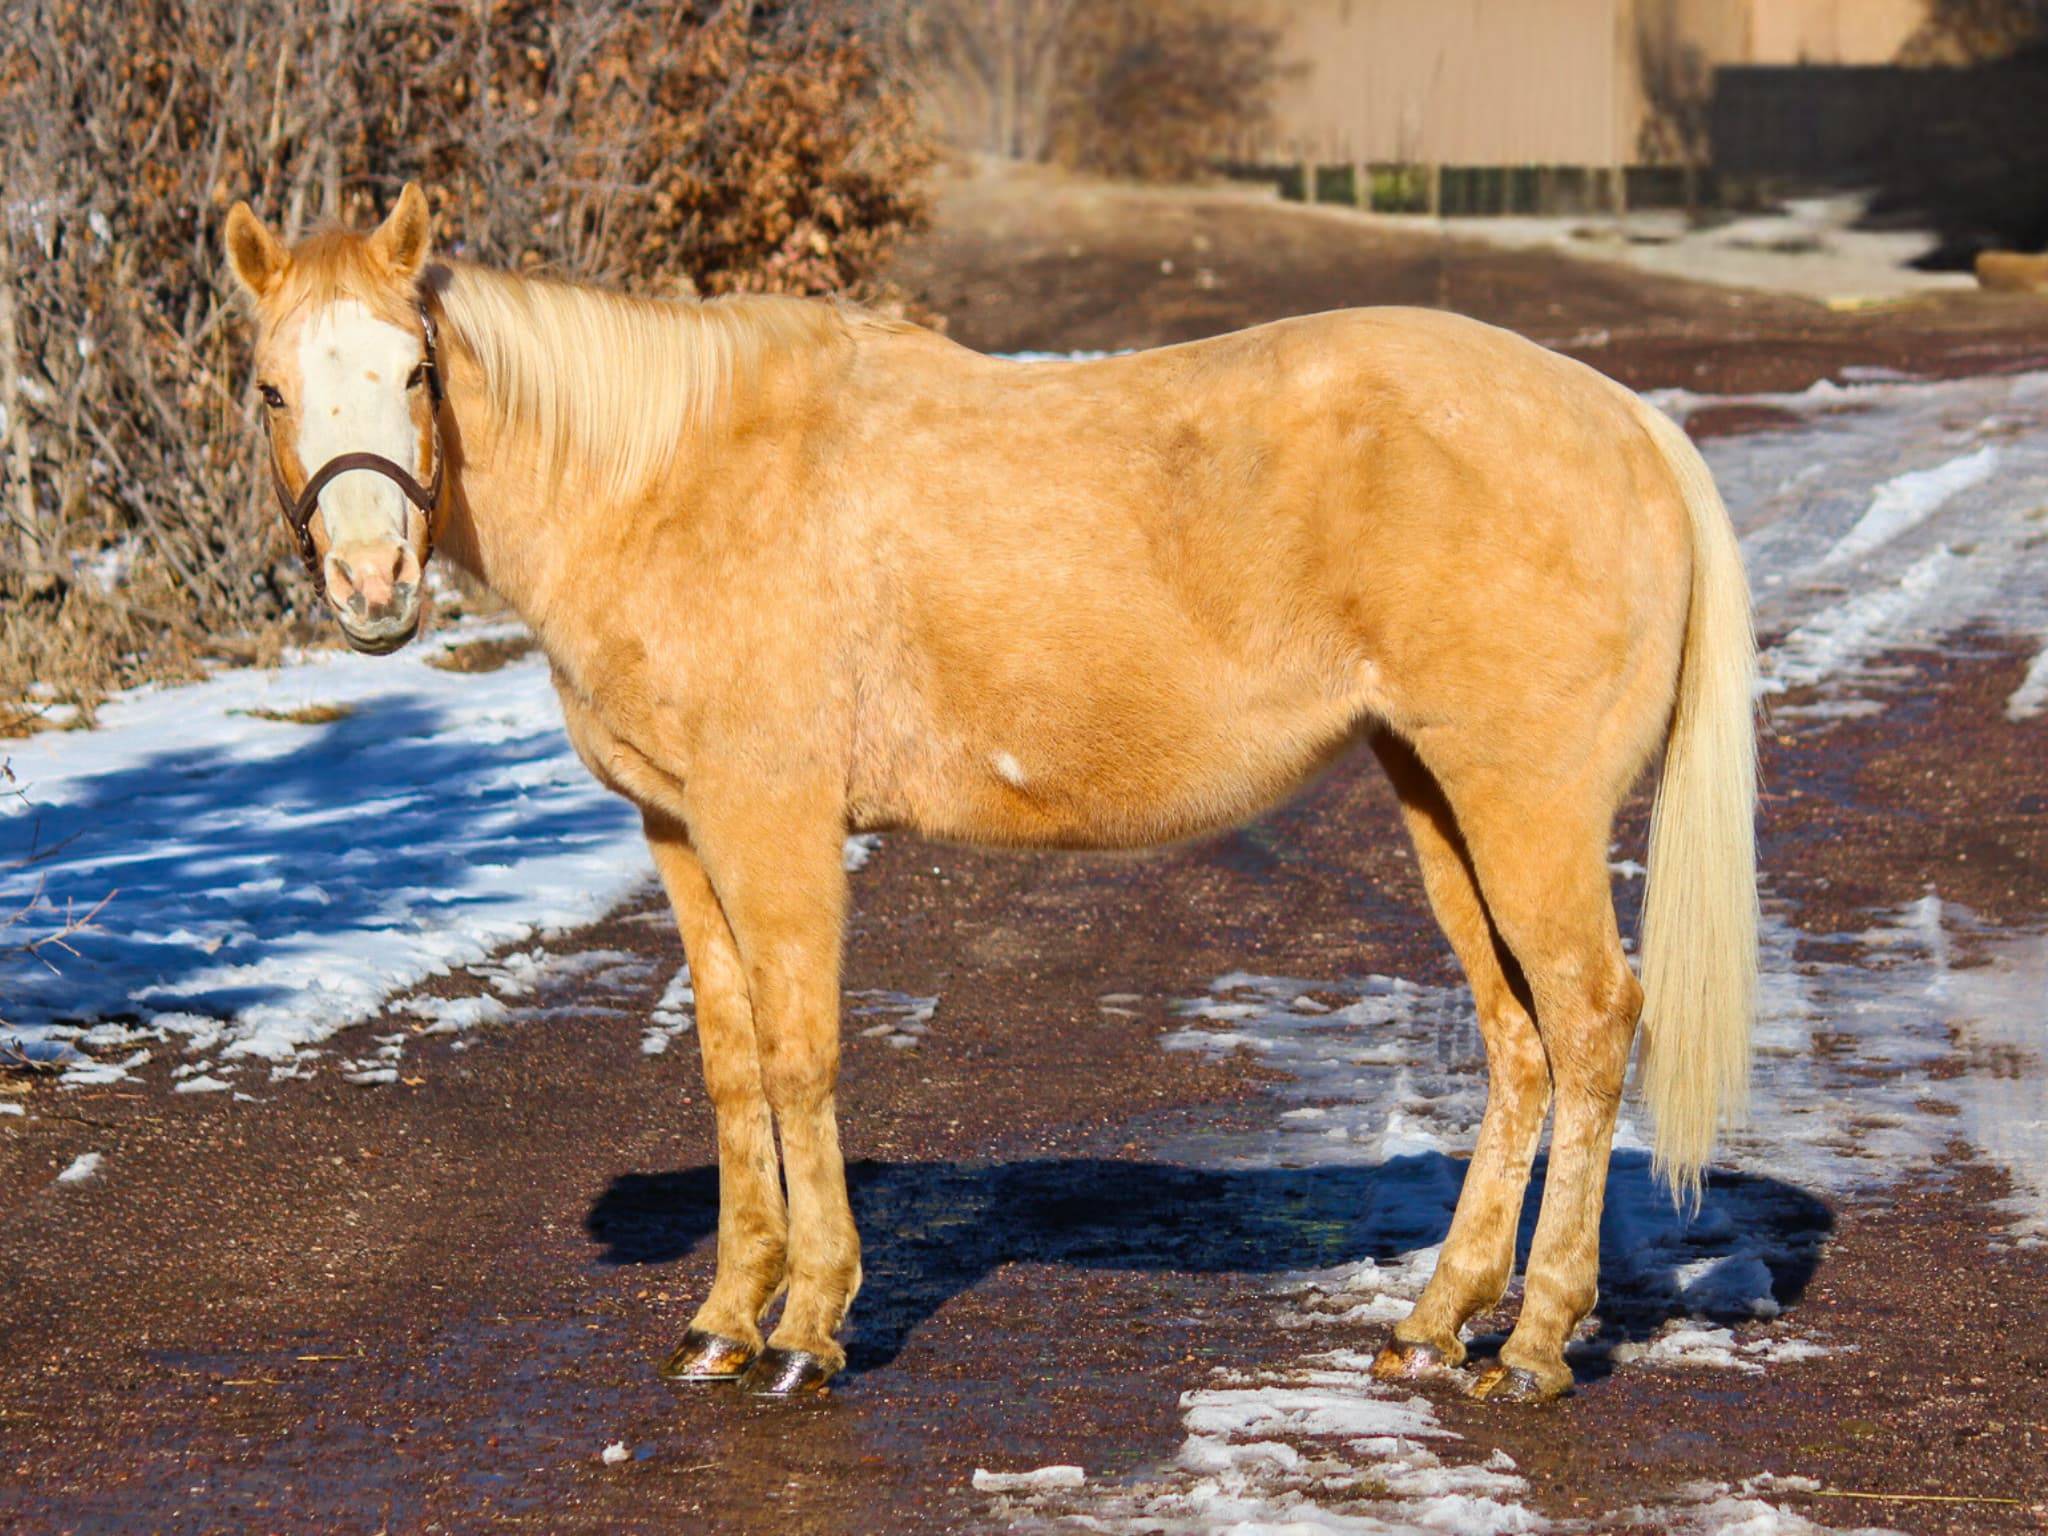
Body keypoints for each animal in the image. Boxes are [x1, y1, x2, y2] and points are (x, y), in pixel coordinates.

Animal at [228, 186, 1761, 1400]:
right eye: (271, 386)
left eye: (416, 370)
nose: (370, 588)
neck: (672, 477)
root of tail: (1628, 423)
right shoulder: (679, 832)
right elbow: (731, 1065)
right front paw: (724, 1318)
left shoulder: (774, 825)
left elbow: (802, 1057)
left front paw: (809, 1328)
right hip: (1439, 801)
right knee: (1520, 1044)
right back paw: (1436, 1325)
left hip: (1524, 809)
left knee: (1590, 1021)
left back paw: (1540, 1344)